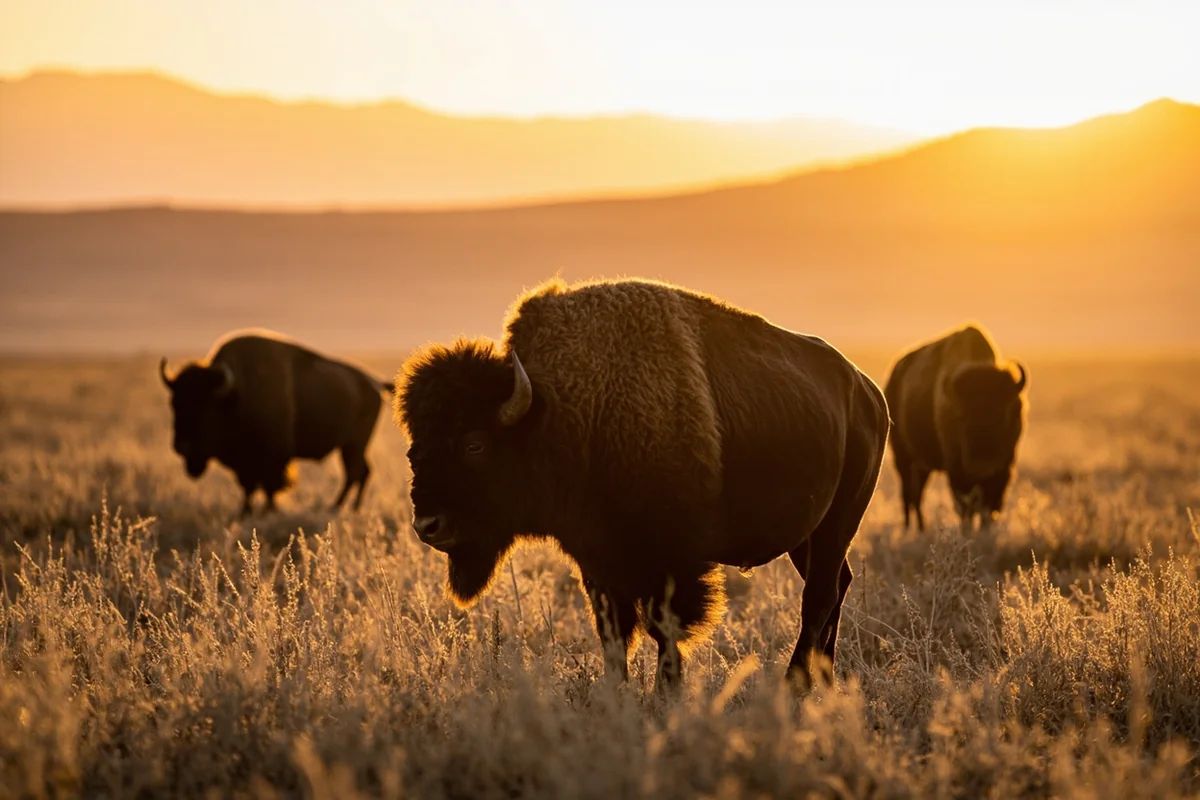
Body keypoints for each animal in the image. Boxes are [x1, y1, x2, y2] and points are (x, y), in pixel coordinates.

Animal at [160, 329, 395, 516]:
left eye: (206, 406)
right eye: (174, 403)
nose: (181, 446)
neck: (235, 395)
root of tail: (374, 382)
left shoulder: (272, 457)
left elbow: (269, 486)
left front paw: (268, 511)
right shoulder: (246, 463)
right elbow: (249, 486)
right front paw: (245, 512)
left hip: (353, 445)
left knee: (354, 473)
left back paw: (335, 507)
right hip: (352, 447)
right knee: (362, 472)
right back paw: (350, 508)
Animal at [394, 278, 890, 692]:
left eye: (474, 444)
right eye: (414, 449)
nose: (428, 525)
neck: (563, 410)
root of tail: (867, 392)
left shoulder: (670, 563)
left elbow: (664, 629)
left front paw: (665, 695)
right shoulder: (597, 562)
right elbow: (614, 634)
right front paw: (618, 696)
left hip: (838, 523)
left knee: (819, 596)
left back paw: (795, 684)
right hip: (808, 537)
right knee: (837, 585)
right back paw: (822, 680)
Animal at [883, 322, 1028, 532]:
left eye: (1003, 414)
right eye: (961, 417)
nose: (981, 467)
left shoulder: (1003, 469)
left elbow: (989, 506)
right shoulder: (957, 470)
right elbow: (965, 506)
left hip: (922, 465)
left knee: (917, 494)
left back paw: (921, 529)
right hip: (902, 458)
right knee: (909, 496)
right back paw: (911, 529)